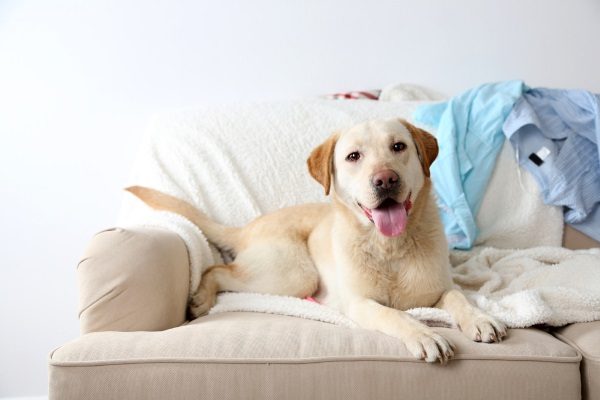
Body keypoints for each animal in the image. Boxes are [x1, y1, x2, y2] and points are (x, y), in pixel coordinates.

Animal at [126, 118, 506, 362]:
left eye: (398, 147)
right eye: (353, 156)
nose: (385, 179)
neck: (389, 246)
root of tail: (248, 226)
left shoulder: (441, 288)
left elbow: (458, 298)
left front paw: (480, 319)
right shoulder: (359, 304)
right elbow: (395, 316)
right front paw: (424, 335)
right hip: (294, 275)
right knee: (217, 269)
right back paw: (202, 297)